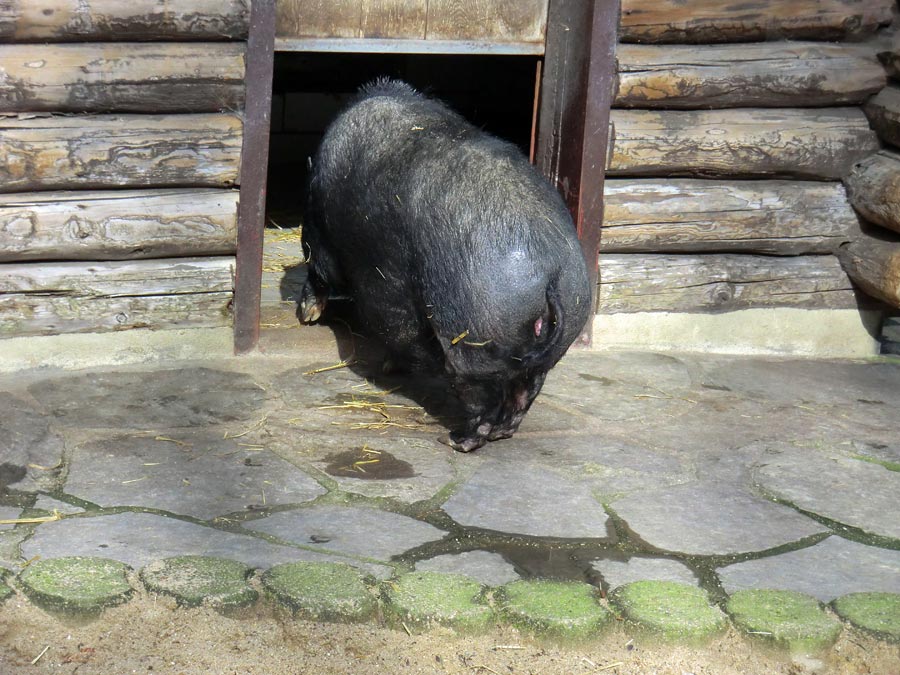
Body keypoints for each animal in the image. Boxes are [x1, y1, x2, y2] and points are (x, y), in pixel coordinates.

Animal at [300, 79, 592, 452]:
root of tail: (551, 275)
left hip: (473, 333)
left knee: (482, 393)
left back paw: (456, 440)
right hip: (555, 332)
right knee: (524, 391)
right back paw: (498, 433)